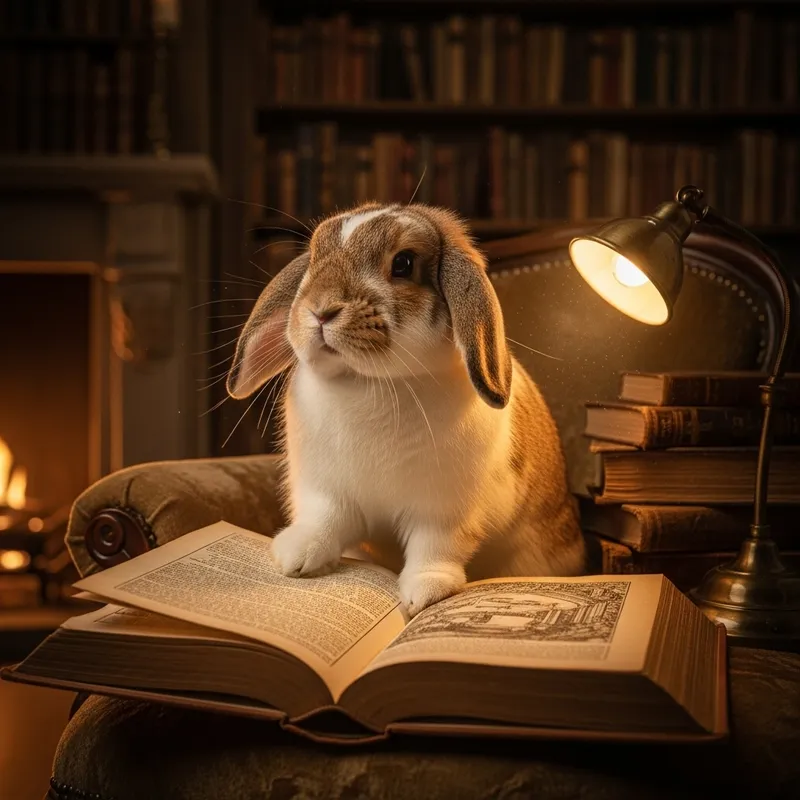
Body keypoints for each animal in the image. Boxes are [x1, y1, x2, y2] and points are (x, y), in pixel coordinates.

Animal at [227, 202, 585, 616]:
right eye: (314, 257)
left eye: (403, 263)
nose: (321, 311)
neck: (370, 383)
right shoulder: (325, 490)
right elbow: (324, 522)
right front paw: (295, 558)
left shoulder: (444, 511)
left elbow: (433, 549)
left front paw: (423, 596)